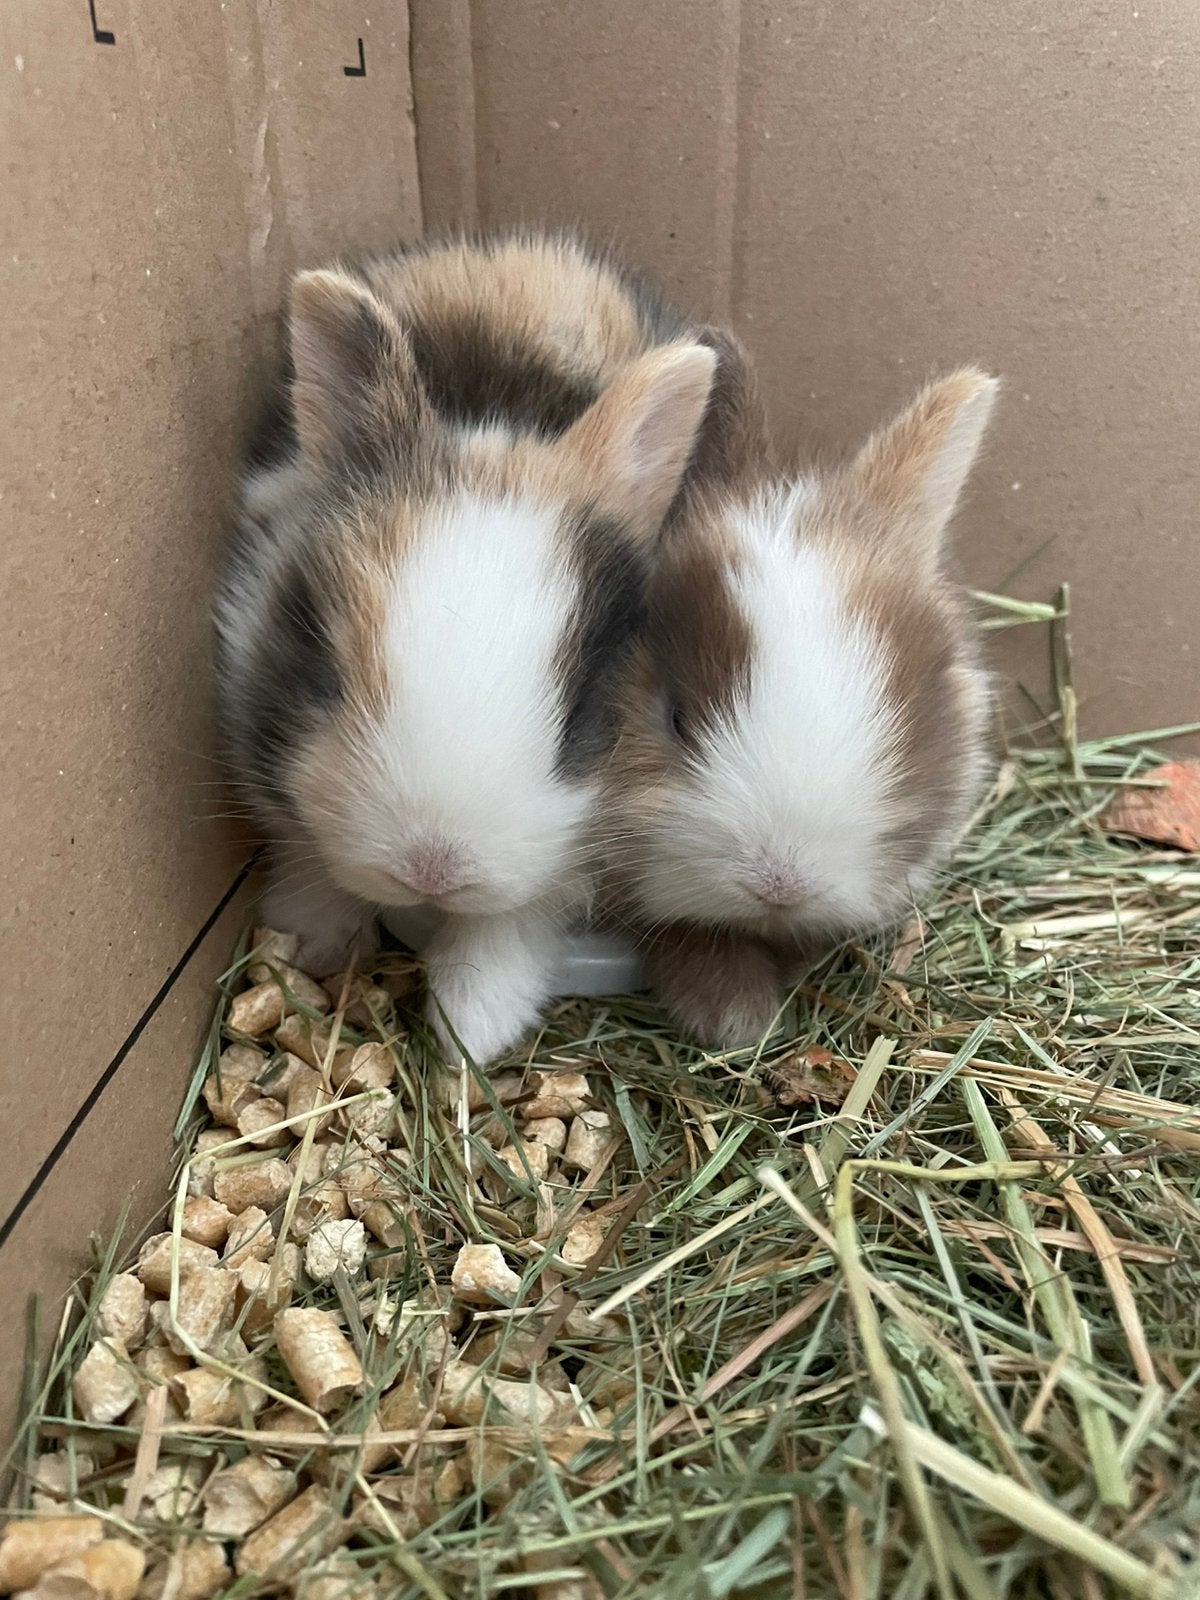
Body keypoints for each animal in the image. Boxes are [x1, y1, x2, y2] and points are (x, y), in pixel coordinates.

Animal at [215, 232, 717, 1063]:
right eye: (324, 671)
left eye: (577, 715)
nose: (432, 868)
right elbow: (307, 854)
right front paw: (312, 941)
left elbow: (508, 926)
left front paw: (468, 1034)